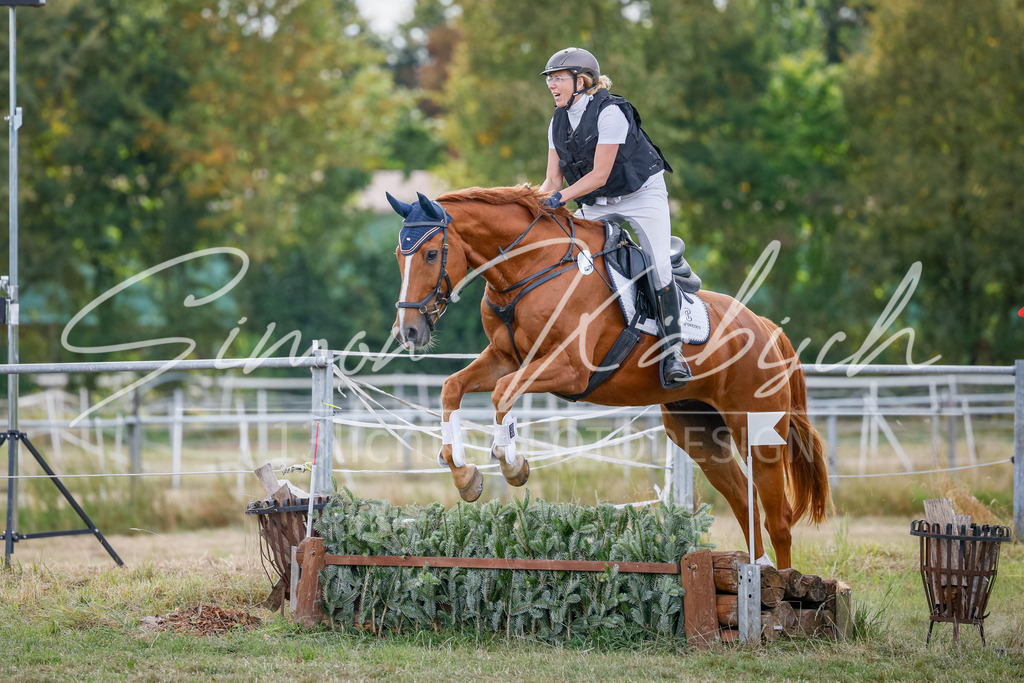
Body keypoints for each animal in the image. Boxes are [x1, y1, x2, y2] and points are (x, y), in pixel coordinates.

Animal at [386, 186, 831, 568]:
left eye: (430, 254)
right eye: (398, 257)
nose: (409, 331)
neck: (530, 269)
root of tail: (765, 327)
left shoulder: (568, 368)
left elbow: (503, 393)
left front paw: (512, 464)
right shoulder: (505, 357)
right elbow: (455, 387)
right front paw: (463, 473)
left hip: (757, 430)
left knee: (778, 517)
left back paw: (783, 589)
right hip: (697, 433)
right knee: (743, 502)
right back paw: (758, 574)